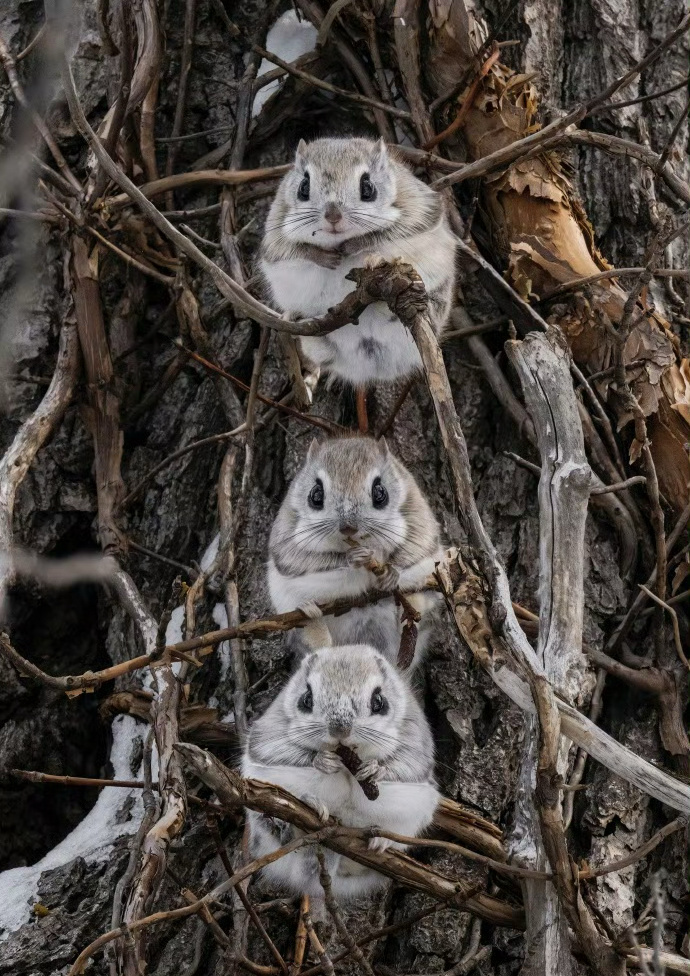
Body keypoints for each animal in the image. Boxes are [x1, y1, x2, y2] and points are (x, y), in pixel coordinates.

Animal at [241, 644, 436, 904]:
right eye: (306, 699)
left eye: (379, 701)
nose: (339, 729)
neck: (347, 763)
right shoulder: (269, 733)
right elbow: (278, 749)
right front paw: (323, 761)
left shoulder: (415, 740)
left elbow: (406, 765)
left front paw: (375, 769)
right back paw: (303, 808)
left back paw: (383, 839)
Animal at [260, 138, 454, 388]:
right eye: (303, 187)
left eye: (368, 188)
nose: (333, 216)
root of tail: (374, 371)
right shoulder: (274, 234)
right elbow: (293, 249)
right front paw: (325, 257)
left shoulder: (420, 209)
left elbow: (378, 235)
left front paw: (357, 248)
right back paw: (294, 318)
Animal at [264, 436, 440, 672]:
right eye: (315, 495)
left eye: (380, 493)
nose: (348, 527)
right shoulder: (286, 539)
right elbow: (307, 560)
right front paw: (353, 559)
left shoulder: (418, 520)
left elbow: (412, 552)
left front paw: (390, 573)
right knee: (320, 646)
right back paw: (311, 621)